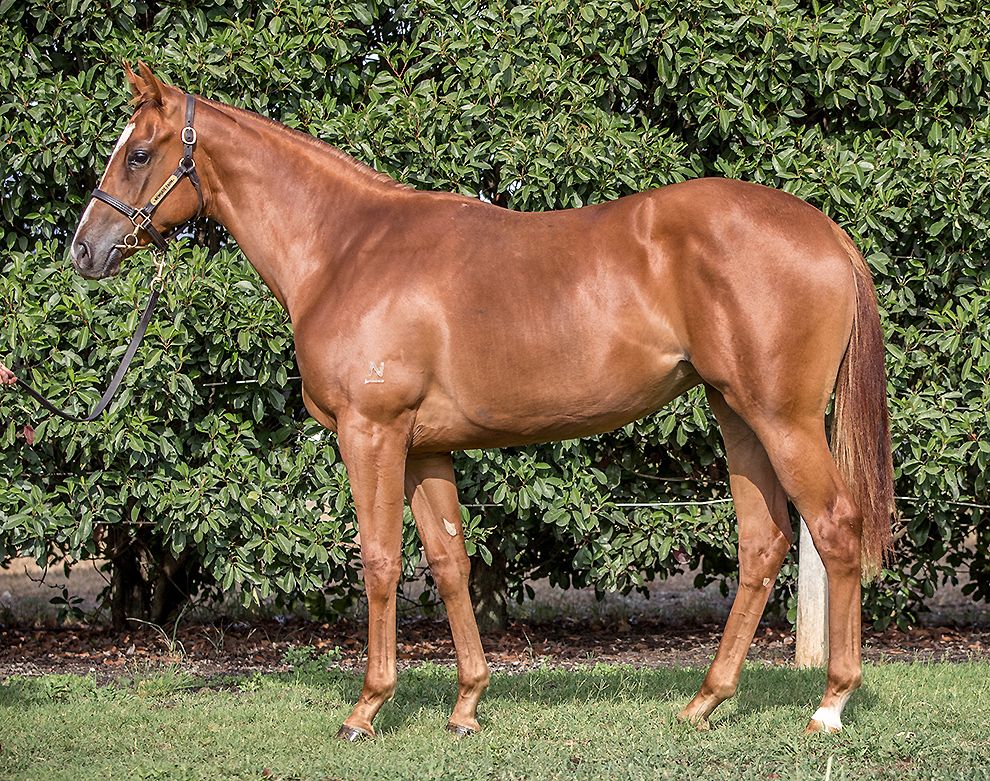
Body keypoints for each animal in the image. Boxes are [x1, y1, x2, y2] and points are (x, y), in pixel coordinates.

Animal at [68, 62, 894, 739]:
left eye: (138, 153)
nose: (82, 249)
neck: (347, 247)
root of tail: (828, 233)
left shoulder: (372, 433)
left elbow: (379, 558)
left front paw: (367, 708)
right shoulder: (426, 446)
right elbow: (449, 559)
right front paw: (467, 703)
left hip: (783, 420)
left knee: (835, 526)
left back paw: (829, 704)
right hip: (736, 414)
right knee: (764, 542)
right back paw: (705, 700)